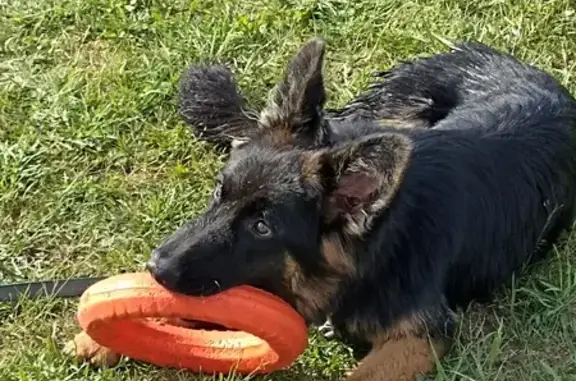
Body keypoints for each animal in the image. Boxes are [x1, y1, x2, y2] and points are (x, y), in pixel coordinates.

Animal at [65, 39, 576, 380]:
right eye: (218, 191)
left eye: (262, 227)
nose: (156, 267)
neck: (379, 243)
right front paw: (99, 335)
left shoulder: (420, 336)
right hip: (383, 115)